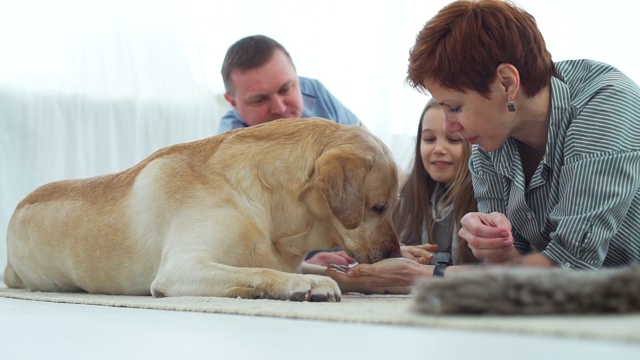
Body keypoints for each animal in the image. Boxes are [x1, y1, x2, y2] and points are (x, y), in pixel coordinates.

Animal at [5, 118, 402, 300]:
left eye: (390, 207)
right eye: (378, 207)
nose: (395, 254)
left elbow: (332, 270)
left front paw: (381, 282)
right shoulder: (181, 268)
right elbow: (263, 271)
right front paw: (305, 282)